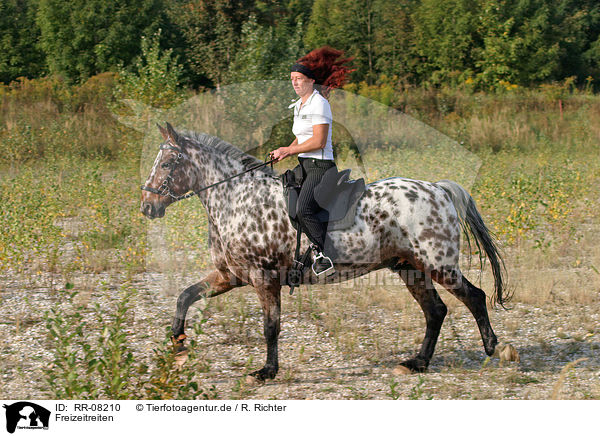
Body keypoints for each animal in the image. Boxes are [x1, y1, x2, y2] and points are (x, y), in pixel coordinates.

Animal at [141, 122, 506, 382]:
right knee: (436, 311)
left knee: (473, 296)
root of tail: (438, 190)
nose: (147, 206)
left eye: (169, 163)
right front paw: (178, 345)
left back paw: (495, 349)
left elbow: (270, 326)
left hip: (438, 264)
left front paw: (266, 372)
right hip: (409, 267)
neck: (237, 198)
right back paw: (417, 363)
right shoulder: (230, 275)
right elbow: (185, 297)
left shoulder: (264, 276)